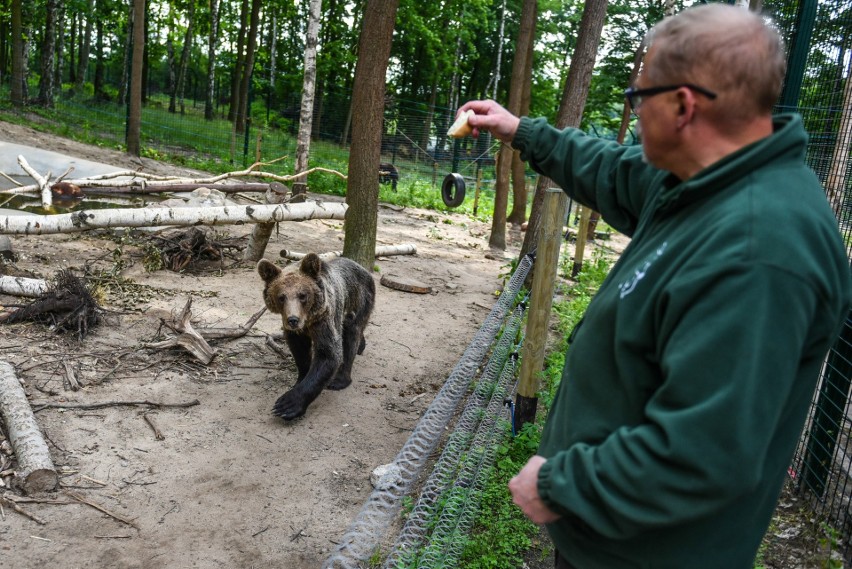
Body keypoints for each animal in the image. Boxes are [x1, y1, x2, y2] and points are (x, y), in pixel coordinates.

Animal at [253, 252, 372, 418]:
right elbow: (300, 353)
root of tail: (363, 269)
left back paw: (340, 379)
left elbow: (328, 354)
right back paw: (362, 345)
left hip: (358, 300)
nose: (293, 320)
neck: (308, 321)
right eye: (281, 297)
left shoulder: (324, 319)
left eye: (302, 295)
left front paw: (287, 405)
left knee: (351, 334)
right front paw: (300, 378)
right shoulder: (296, 333)